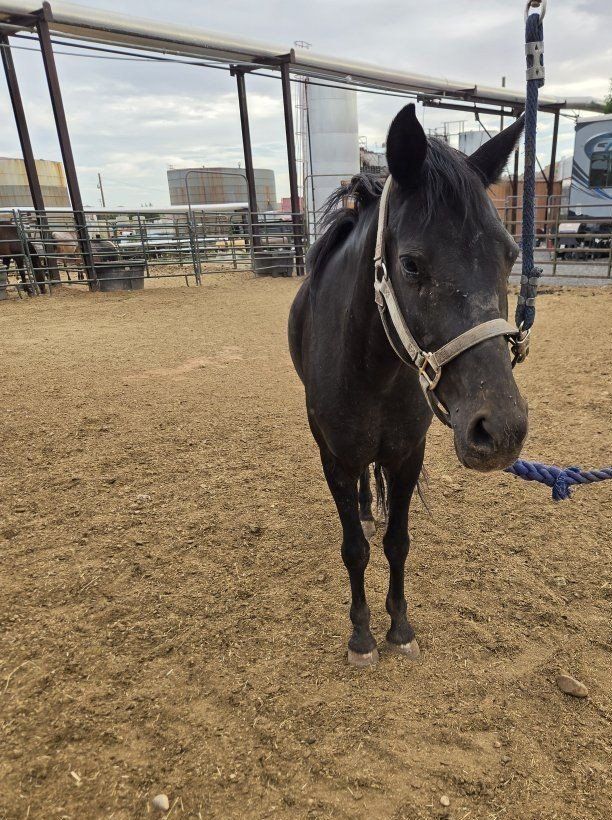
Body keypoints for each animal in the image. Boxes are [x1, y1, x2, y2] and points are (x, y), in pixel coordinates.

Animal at [288, 104, 529, 667]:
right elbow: (354, 549)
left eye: (510, 254)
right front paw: (361, 635)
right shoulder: (334, 457)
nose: (501, 430)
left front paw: (399, 627)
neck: (374, 372)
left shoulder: (406, 456)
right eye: (411, 264)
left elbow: (398, 543)